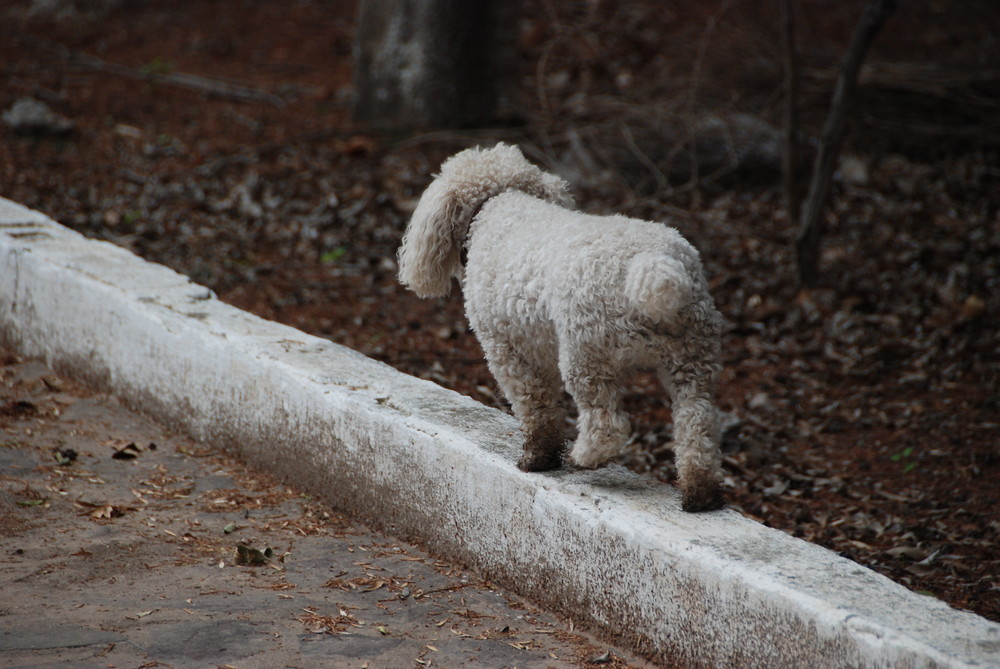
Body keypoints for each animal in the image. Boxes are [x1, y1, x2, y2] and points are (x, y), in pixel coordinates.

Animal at [400, 144, 728, 508]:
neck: (498, 204)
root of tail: (655, 263)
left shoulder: (506, 348)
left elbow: (536, 406)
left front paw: (538, 457)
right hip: (692, 356)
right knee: (697, 422)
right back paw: (701, 493)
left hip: (586, 354)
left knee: (606, 425)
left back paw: (584, 458)